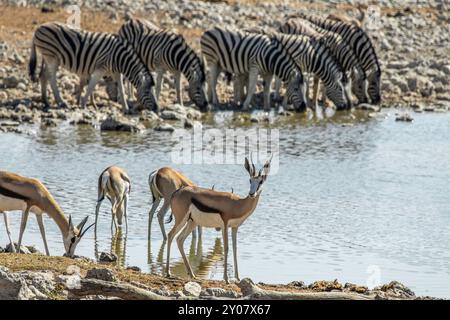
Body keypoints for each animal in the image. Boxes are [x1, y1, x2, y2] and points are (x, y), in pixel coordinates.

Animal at [28, 22, 158, 112]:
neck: (119, 58)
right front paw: (83, 105)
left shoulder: (116, 72)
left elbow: (121, 88)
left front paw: (126, 108)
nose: (157, 109)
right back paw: (61, 102)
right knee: (52, 79)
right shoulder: (100, 69)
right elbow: (91, 86)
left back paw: (46, 101)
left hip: (48, 58)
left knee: (43, 76)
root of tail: (39, 27)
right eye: (148, 92)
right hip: (52, 57)